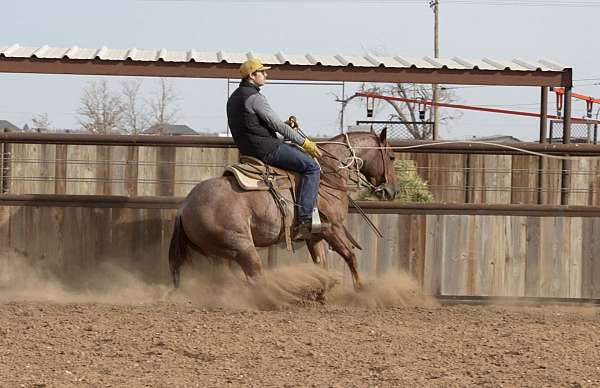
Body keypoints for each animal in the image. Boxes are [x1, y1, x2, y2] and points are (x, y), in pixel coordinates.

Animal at [166, 129, 396, 290]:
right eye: (392, 157)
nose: (392, 191)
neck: (328, 175)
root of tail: (185, 207)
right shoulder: (333, 228)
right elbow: (350, 256)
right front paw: (361, 289)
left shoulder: (315, 236)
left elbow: (321, 265)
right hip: (241, 247)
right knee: (255, 278)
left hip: (218, 254)